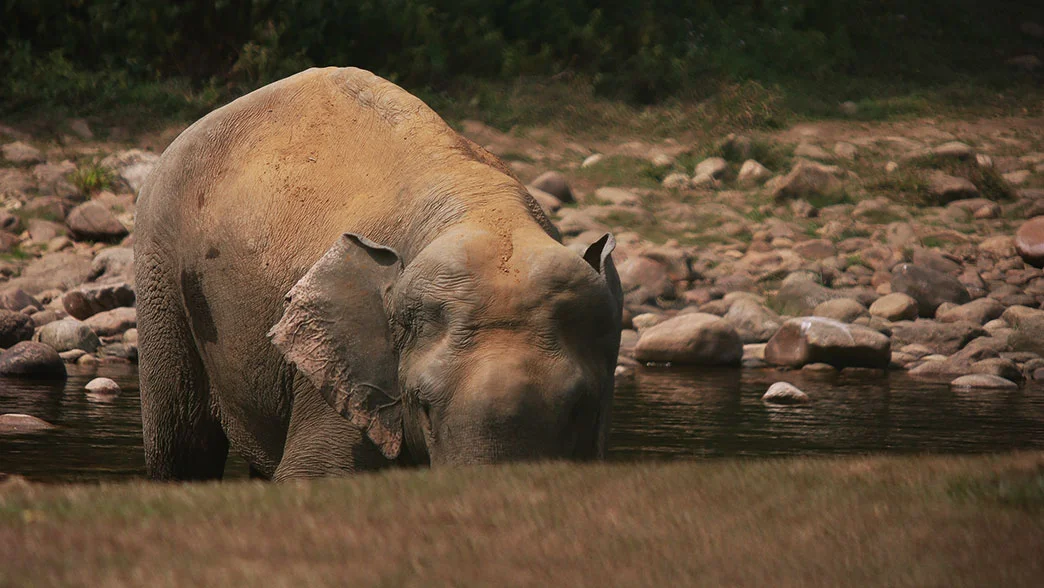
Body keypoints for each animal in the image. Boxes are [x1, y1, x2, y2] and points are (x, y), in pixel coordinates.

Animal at [134, 67, 623, 480]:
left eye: (580, 408)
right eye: (422, 405)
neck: (483, 209)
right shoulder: (340, 370)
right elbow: (315, 473)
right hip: (160, 267)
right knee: (181, 445)